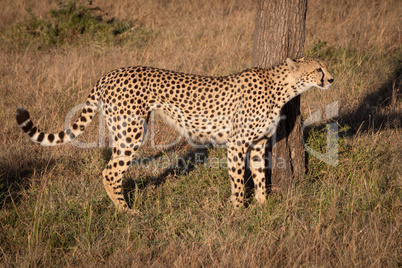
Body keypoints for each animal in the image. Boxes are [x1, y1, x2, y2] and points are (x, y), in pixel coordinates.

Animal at [15, 57, 334, 213]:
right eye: (318, 69)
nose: (331, 79)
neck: (281, 87)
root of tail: (110, 73)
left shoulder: (256, 144)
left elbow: (257, 176)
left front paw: (263, 207)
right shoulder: (236, 143)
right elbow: (237, 179)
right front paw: (237, 211)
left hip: (122, 130)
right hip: (131, 131)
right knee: (110, 171)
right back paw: (126, 212)